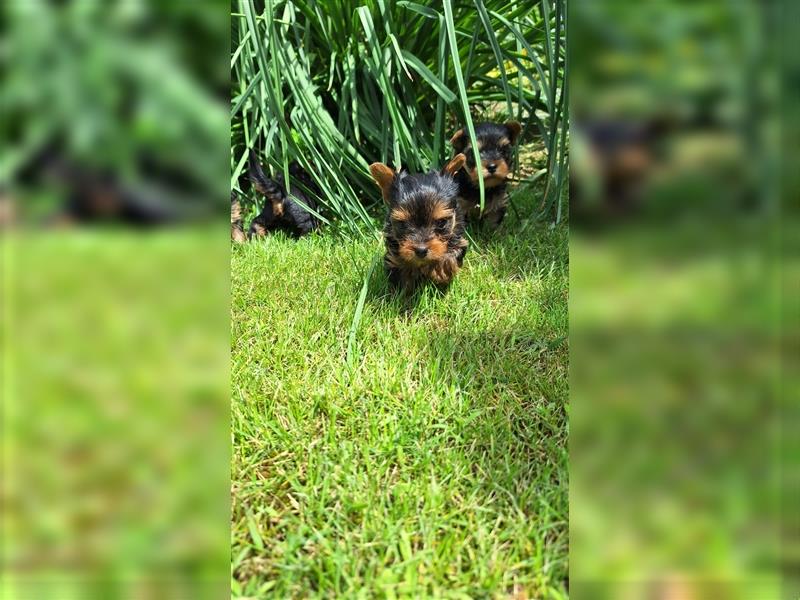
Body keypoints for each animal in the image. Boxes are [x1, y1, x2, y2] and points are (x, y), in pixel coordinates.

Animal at [368, 154, 468, 294]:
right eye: (402, 224)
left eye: (441, 222)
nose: (421, 250)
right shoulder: (393, 258)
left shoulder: (459, 238)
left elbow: (454, 250)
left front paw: (442, 269)